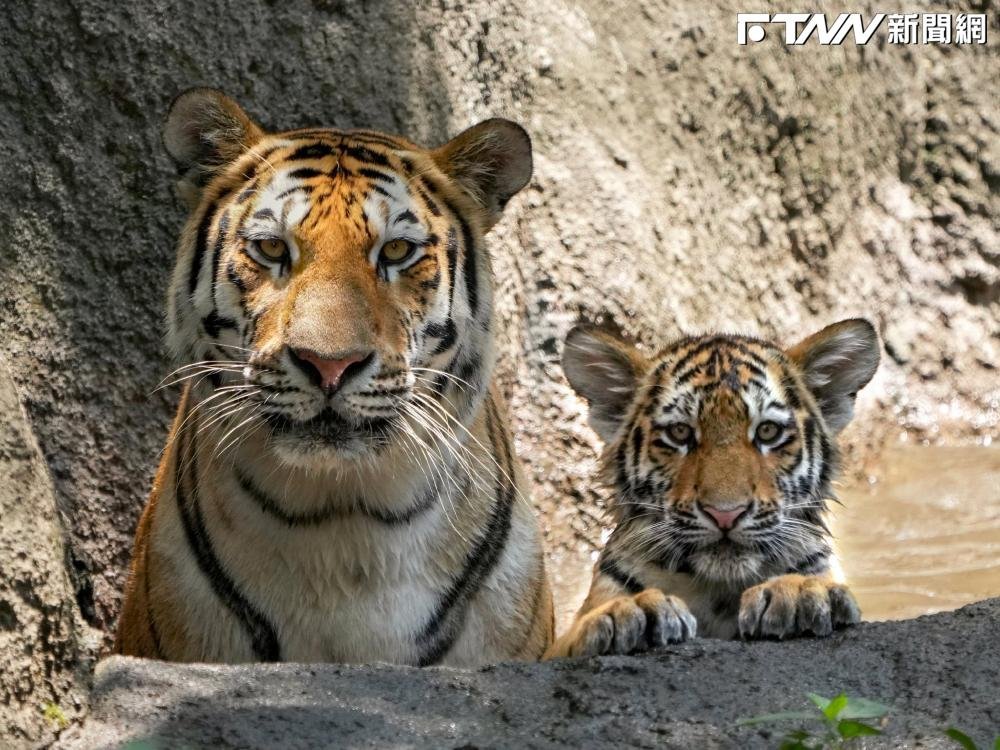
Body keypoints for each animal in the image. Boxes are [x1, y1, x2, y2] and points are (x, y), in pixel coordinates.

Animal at [545, 319, 880, 658]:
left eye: (767, 431)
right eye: (679, 433)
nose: (725, 515)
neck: (716, 589)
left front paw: (798, 592)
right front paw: (629, 610)